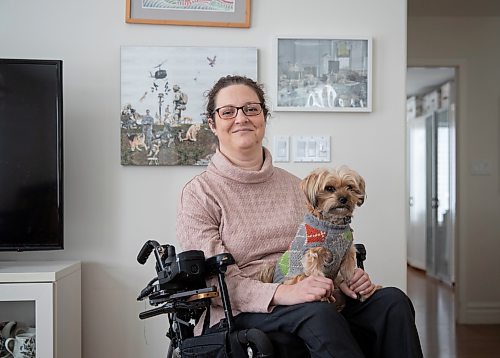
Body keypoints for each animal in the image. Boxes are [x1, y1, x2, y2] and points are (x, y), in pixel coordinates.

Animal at [260, 167, 376, 304]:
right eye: (329, 188)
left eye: (350, 187)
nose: (344, 198)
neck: (332, 223)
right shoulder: (313, 254)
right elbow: (316, 273)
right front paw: (323, 296)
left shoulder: (348, 254)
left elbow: (350, 274)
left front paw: (360, 291)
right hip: (298, 277)